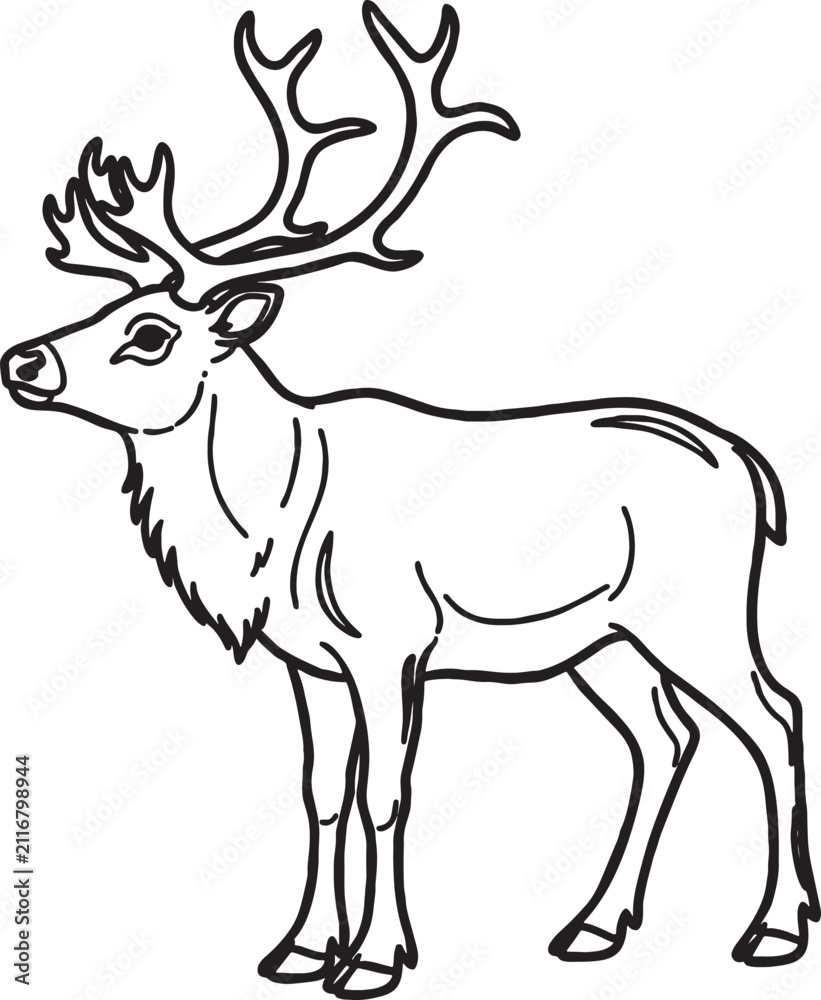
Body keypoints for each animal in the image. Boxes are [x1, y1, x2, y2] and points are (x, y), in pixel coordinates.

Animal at [2, 4, 818, 997]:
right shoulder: (309, 662)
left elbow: (386, 794)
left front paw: (375, 958)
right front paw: (299, 948)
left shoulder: (392, 643)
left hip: (698, 611)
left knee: (775, 714)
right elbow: (320, 792)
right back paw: (594, 926)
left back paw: (773, 929)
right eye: (100, 310)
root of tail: (752, 465)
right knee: (664, 738)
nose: (22, 361)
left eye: (150, 332)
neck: (269, 523)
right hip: (602, 638)